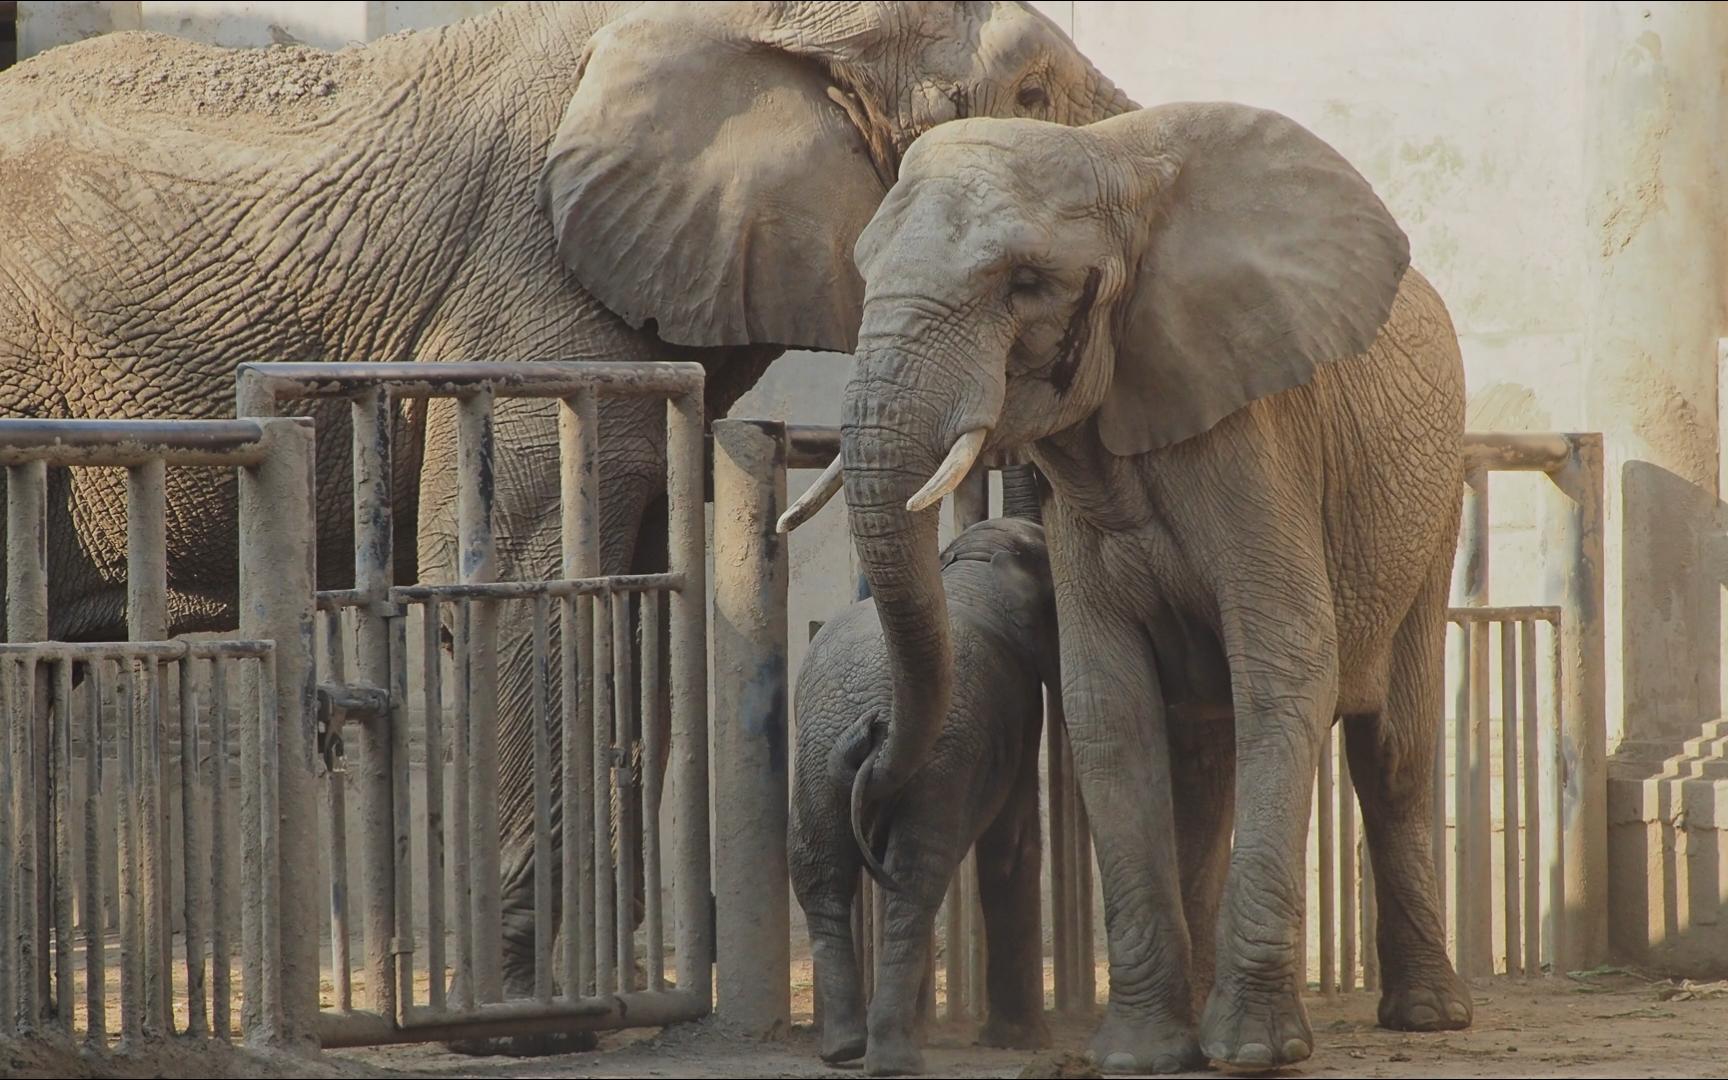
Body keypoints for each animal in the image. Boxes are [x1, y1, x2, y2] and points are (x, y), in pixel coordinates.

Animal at [787, 459, 1050, 1071]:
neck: (973, 565)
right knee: (914, 879)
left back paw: (844, 1049)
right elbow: (1013, 845)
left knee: (822, 870)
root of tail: (877, 713)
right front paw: (1024, 1039)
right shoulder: (1023, 703)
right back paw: (894, 1058)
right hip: (939, 760)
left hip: (816, 747)